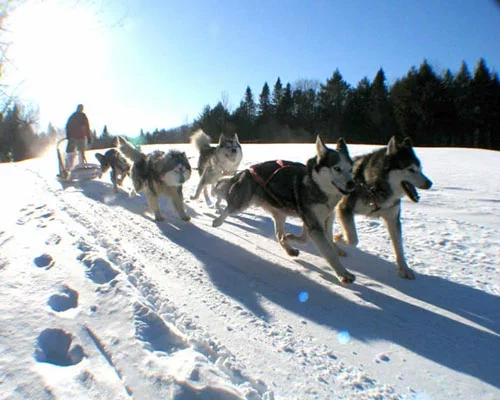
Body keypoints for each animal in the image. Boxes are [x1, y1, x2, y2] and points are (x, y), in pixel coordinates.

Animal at [211, 137, 356, 284]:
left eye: (351, 169)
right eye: (337, 168)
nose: (352, 184)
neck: (316, 184)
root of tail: (244, 172)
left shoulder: (324, 219)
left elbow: (314, 240)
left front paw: (291, 237)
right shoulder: (314, 223)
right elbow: (328, 252)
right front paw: (343, 274)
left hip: (280, 213)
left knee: (278, 234)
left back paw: (289, 248)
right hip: (241, 204)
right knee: (229, 208)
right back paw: (217, 221)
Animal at [336, 136, 434, 280]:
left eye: (420, 169)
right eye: (410, 169)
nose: (429, 183)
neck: (373, 186)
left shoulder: (393, 218)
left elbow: (399, 246)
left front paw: (404, 269)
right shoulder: (344, 208)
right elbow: (353, 239)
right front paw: (340, 238)